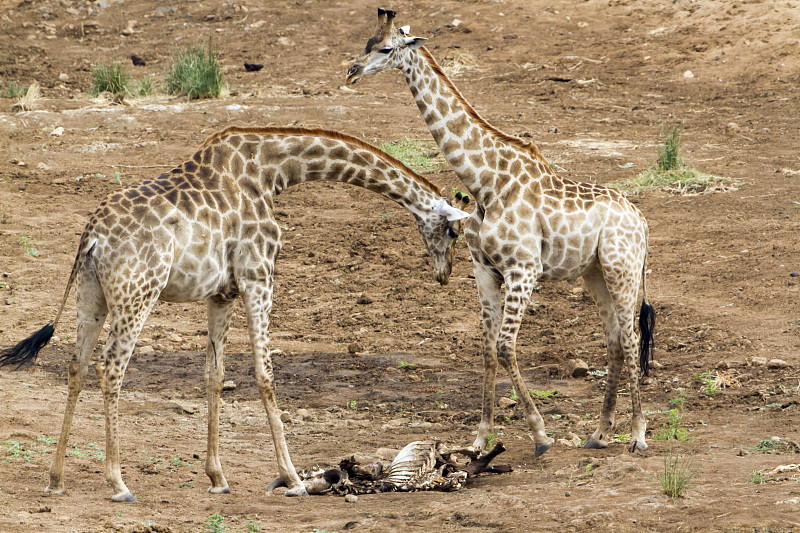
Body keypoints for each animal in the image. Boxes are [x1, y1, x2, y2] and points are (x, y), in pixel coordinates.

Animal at [0, 127, 472, 500]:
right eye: (453, 231)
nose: (444, 275)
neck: (272, 173)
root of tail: (92, 235)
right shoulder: (258, 275)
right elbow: (265, 374)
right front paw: (292, 478)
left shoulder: (221, 294)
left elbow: (214, 375)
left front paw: (218, 478)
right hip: (139, 294)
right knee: (110, 367)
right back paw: (118, 484)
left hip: (91, 295)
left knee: (77, 365)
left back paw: (56, 479)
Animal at [348, 8, 656, 456]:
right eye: (367, 43)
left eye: (387, 49)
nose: (352, 71)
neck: (486, 183)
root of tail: (642, 221)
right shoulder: (484, 270)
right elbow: (488, 351)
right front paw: (480, 437)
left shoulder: (524, 269)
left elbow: (507, 346)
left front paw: (541, 435)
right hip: (594, 272)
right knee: (615, 340)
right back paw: (599, 433)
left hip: (623, 268)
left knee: (632, 338)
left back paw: (636, 435)